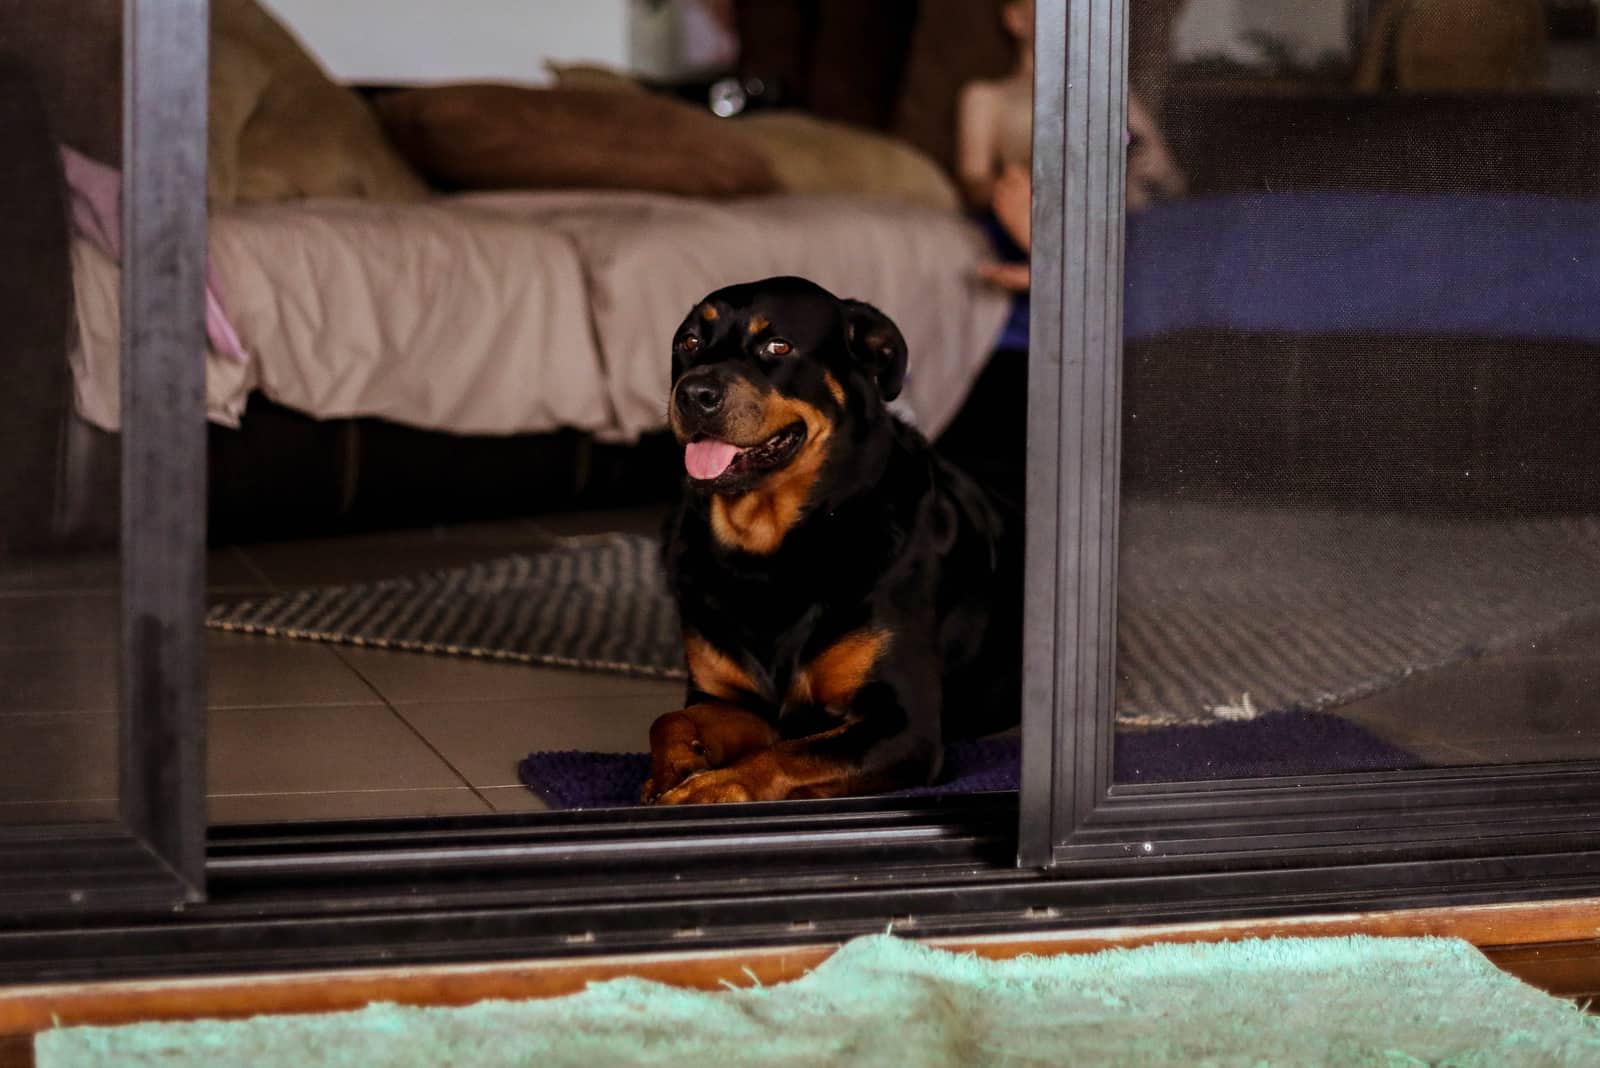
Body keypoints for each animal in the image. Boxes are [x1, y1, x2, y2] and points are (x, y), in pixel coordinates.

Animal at [643, 271, 1017, 805]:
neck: (768, 551)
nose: (694, 393)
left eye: (777, 346)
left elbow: (788, 753)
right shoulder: (728, 699)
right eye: (689, 342)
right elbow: (669, 719)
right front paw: (673, 768)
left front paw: (710, 788)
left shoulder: (904, 724)